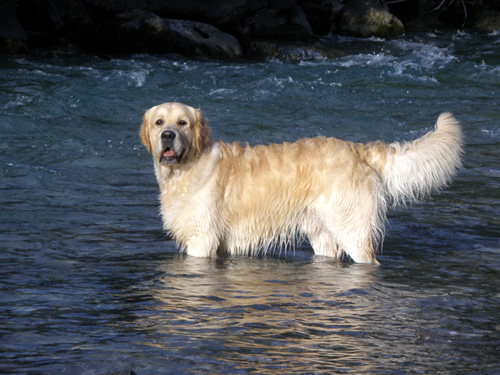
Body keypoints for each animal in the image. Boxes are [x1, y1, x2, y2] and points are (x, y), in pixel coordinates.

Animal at [139, 103, 462, 264]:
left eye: (183, 123)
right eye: (159, 122)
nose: (168, 136)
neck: (184, 169)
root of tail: (358, 149)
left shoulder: (202, 240)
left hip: (352, 229)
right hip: (321, 232)